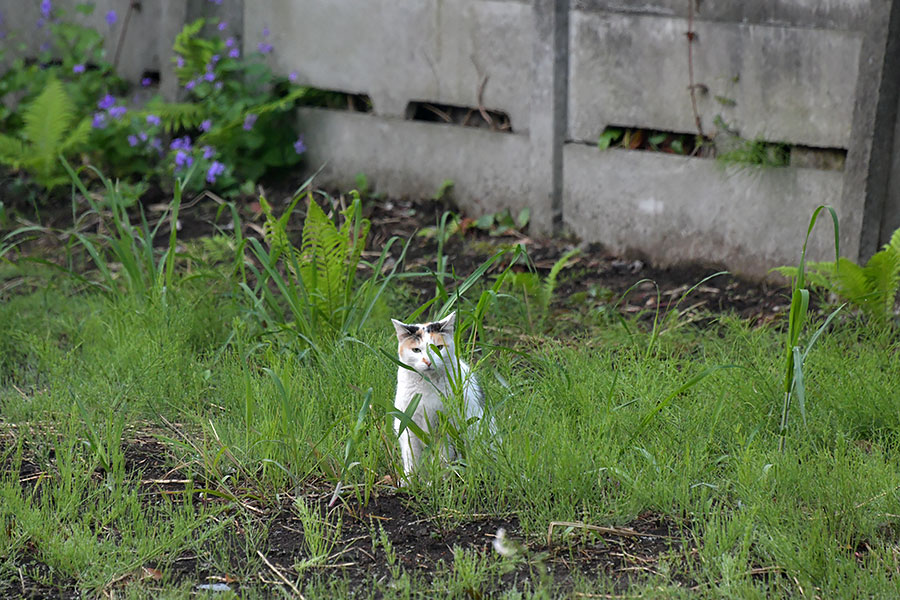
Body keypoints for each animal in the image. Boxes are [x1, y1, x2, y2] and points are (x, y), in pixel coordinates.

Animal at [390, 312, 496, 480]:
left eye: (438, 347)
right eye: (416, 350)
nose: (428, 361)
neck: (427, 385)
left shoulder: (446, 425)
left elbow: (443, 458)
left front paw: (438, 481)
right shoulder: (407, 424)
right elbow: (411, 458)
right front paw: (410, 481)